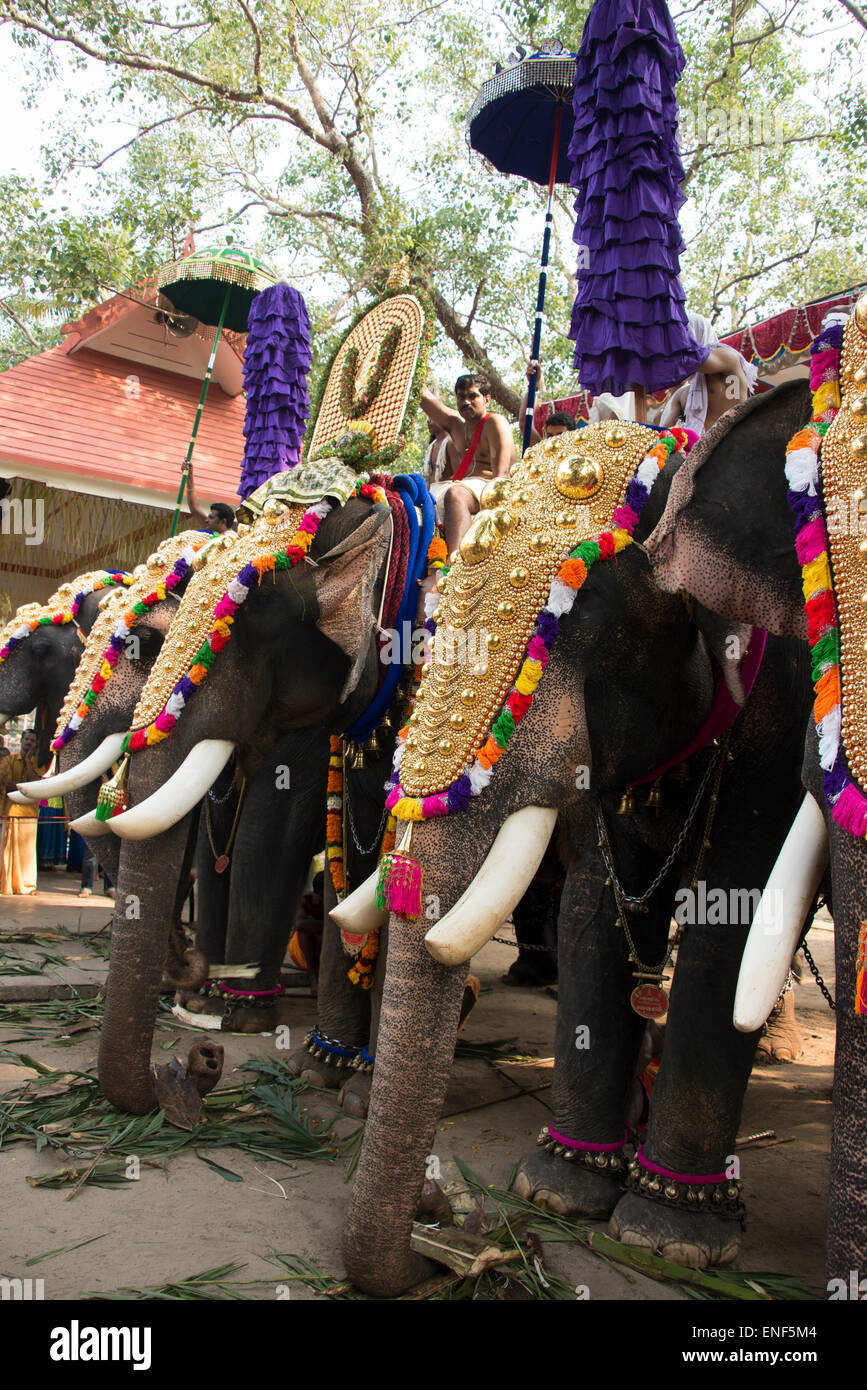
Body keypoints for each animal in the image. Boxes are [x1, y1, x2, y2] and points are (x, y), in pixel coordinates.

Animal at [334, 403, 816, 1301]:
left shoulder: (782, 710)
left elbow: (728, 917)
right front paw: (558, 1191)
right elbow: (597, 908)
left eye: (577, 623)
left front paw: (668, 1238)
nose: (443, 1226)